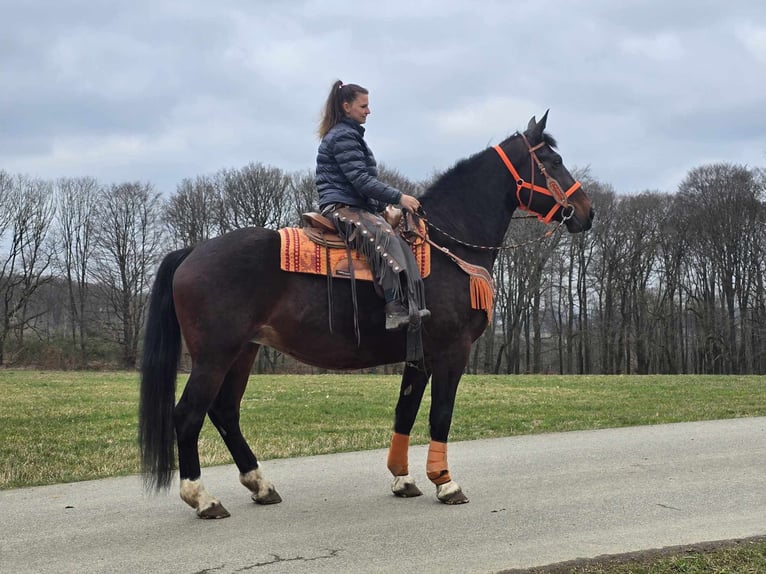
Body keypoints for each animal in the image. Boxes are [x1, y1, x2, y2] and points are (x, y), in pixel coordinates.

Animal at [140, 110, 592, 520]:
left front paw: (403, 479)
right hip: (215, 355)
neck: (447, 246)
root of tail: (192, 252)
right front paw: (446, 483)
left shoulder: (420, 356)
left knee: (225, 412)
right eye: (551, 160)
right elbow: (440, 415)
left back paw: (260, 485)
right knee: (189, 415)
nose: (587, 211)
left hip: (243, 352)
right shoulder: (452, 351)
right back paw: (203, 498)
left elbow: (405, 412)